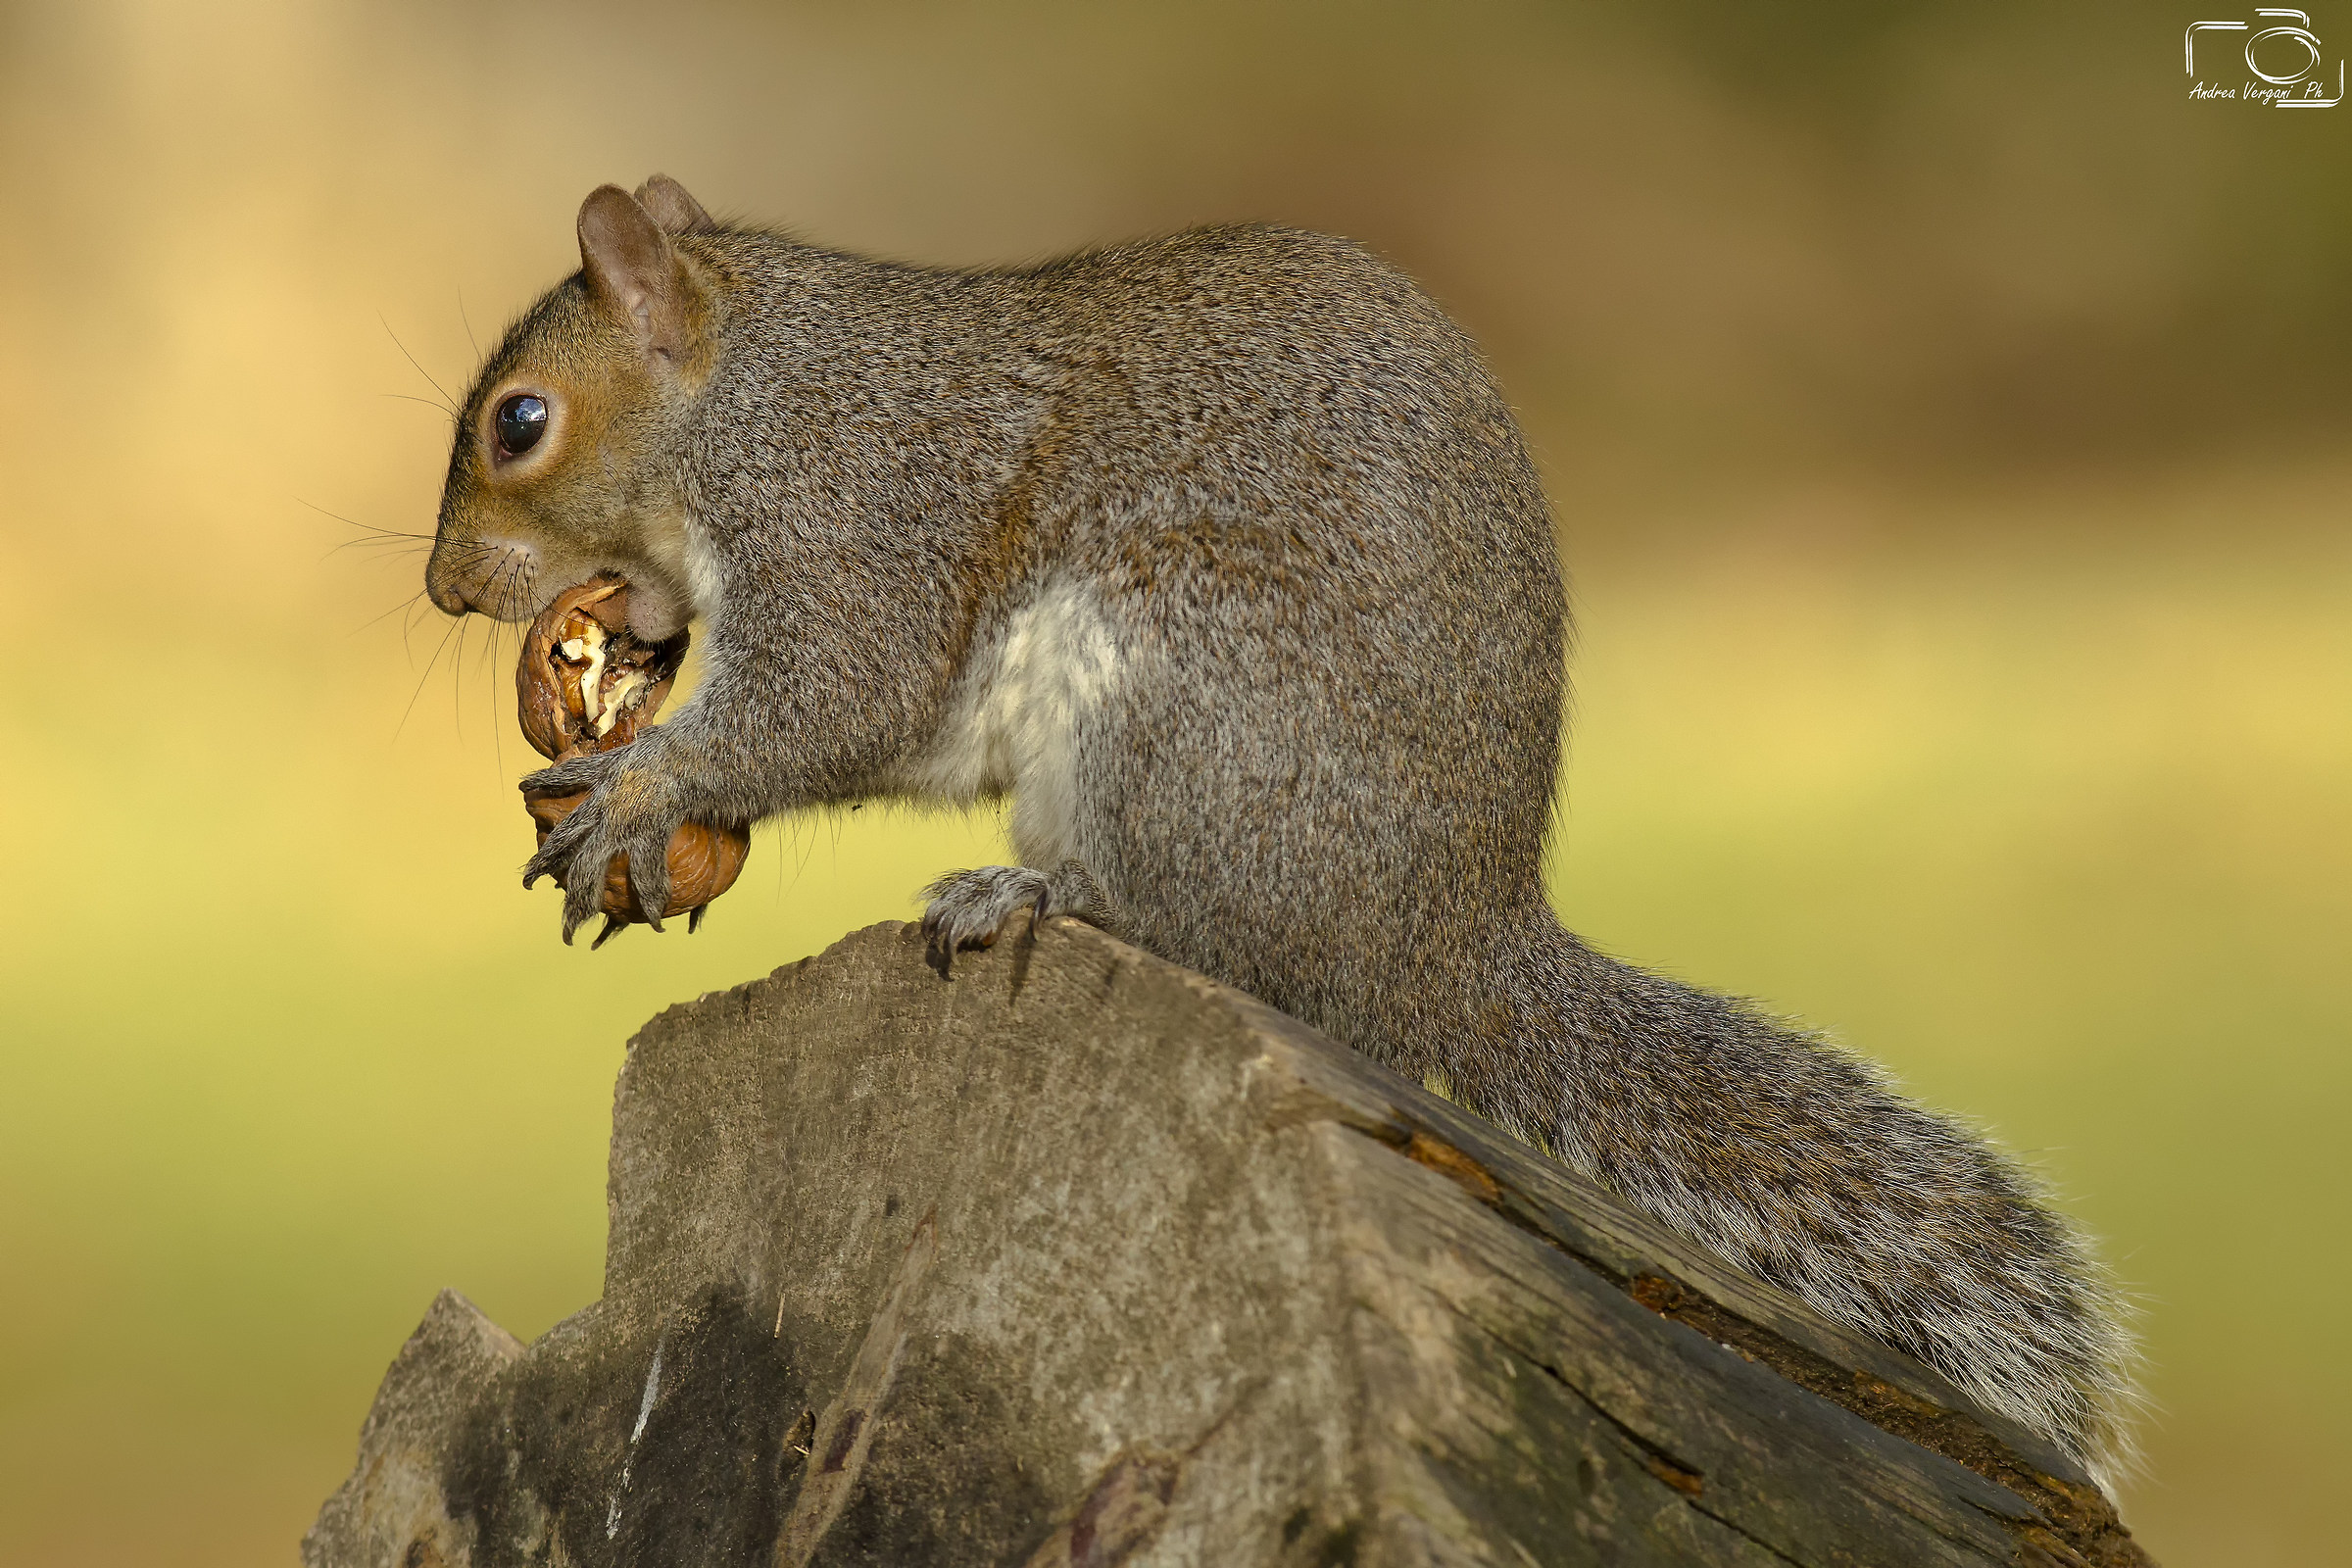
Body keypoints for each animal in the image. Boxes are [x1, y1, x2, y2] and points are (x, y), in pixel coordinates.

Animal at [424, 176, 2138, 1489]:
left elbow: (841, 696)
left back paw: (1034, 891)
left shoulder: (857, 516)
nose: (445, 589)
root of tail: (1440, 942)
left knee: (1207, 934)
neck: (754, 387)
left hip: (1186, 697)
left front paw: (645, 788)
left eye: (520, 424)